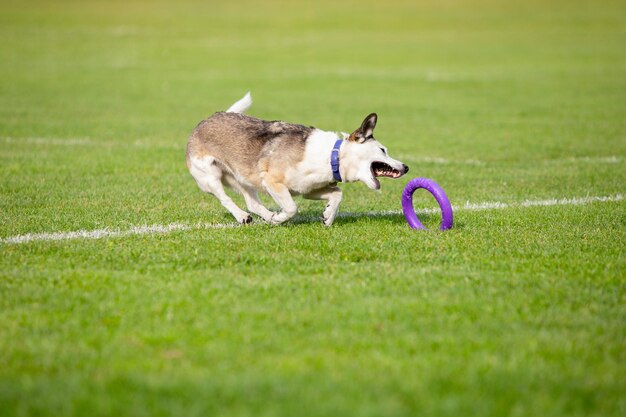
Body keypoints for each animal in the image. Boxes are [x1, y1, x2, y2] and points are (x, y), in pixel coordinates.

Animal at [184, 92, 410, 226]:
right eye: (383, 150)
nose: (406, 167)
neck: (332, 156)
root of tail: (207, 119)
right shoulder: (272, 181)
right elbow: (292, 207)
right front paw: (281, 218)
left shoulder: (308, 189)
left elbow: (337, 193)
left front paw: (328, 216)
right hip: (209, 176)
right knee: (225, 198)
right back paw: (244, 216)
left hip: (243, 179)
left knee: (252, 203)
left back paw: (266, 217)